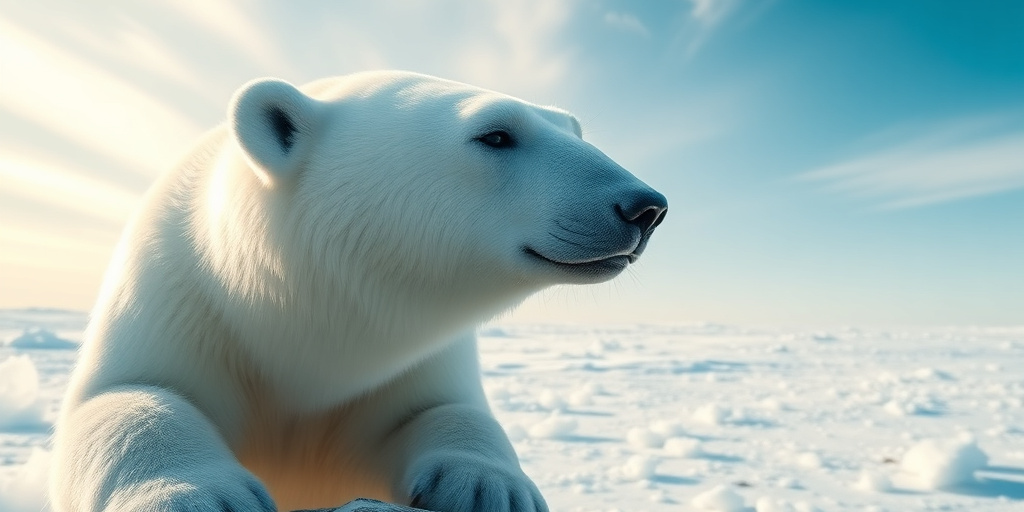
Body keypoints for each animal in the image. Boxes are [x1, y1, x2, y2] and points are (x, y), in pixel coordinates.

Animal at [50, 70, 667, 512]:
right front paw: (200, 496)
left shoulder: (402, 365)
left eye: (575, 129)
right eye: (496, 133)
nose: (646, 206)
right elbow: (131, 395)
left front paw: (492, 487)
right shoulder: (183, 297)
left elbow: (440, 412)